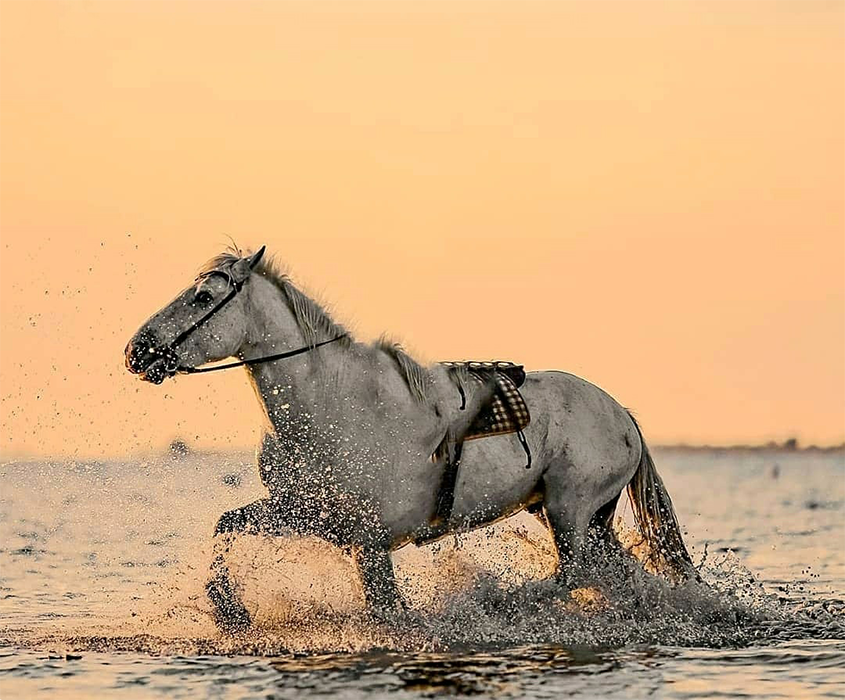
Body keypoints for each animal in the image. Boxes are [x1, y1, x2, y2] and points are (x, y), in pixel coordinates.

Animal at [125, 247, 692, 636]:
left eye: (203, 296)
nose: (137, 350)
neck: (332, 405)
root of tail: (623, 415)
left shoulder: (369, 541)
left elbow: (386, 610)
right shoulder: (308, 514)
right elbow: (227, 523)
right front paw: (230, 610)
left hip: (569, 510)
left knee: (572, 575)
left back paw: (503, 603)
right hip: (580, 516)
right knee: (612, 573)